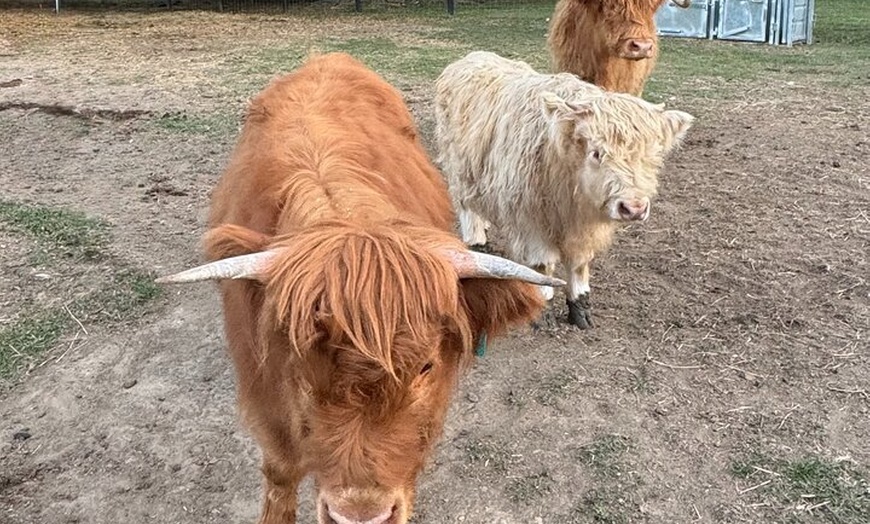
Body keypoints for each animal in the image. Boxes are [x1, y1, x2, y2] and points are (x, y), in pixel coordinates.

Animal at [434, 51, 693, 329]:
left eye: (650, 156)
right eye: (597, 153)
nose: (633, 208)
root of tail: (472, 56)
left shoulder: (583, 228)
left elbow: (579, 265)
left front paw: (580, 309)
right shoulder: (531, 219)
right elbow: (543, 266)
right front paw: (542, 310)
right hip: (459, 168)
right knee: (466, 207)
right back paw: (476, 241)